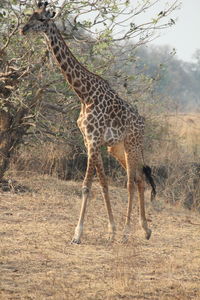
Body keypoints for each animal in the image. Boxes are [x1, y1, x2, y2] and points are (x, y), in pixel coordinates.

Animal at [20, 1, 155, 244]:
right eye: (29, 16)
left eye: (42, 19)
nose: (23, 30)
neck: (84, 94)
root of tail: (142, 122)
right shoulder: (90, 141)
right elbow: (103, 184)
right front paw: (110, 229)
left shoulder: (93, 141)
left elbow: (85, 187)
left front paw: (78, 234)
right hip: (117, 148)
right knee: (139, 178)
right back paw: (144, 230)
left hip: (132, 144)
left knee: (132, 181)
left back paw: (128, 231)